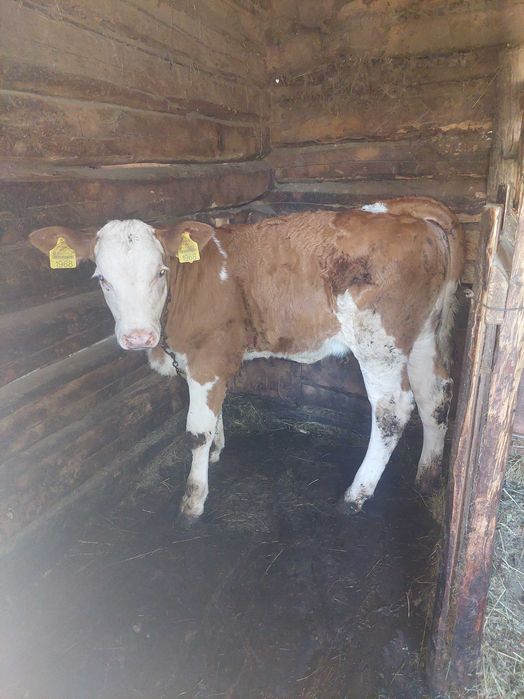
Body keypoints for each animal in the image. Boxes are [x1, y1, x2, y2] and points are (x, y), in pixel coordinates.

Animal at [30, 197, 464, 522]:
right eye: (101, 278)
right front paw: (217, 452)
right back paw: (427, 477)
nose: (138, 336)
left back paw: (355, 495)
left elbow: (196, 430)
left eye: (160, 272)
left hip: (378, 342)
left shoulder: (206, 355)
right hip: (423, 334)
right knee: (435, 394)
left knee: (393, 410)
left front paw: (193, 500)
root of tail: (398, 210)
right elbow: (215, 411)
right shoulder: (206, 360)